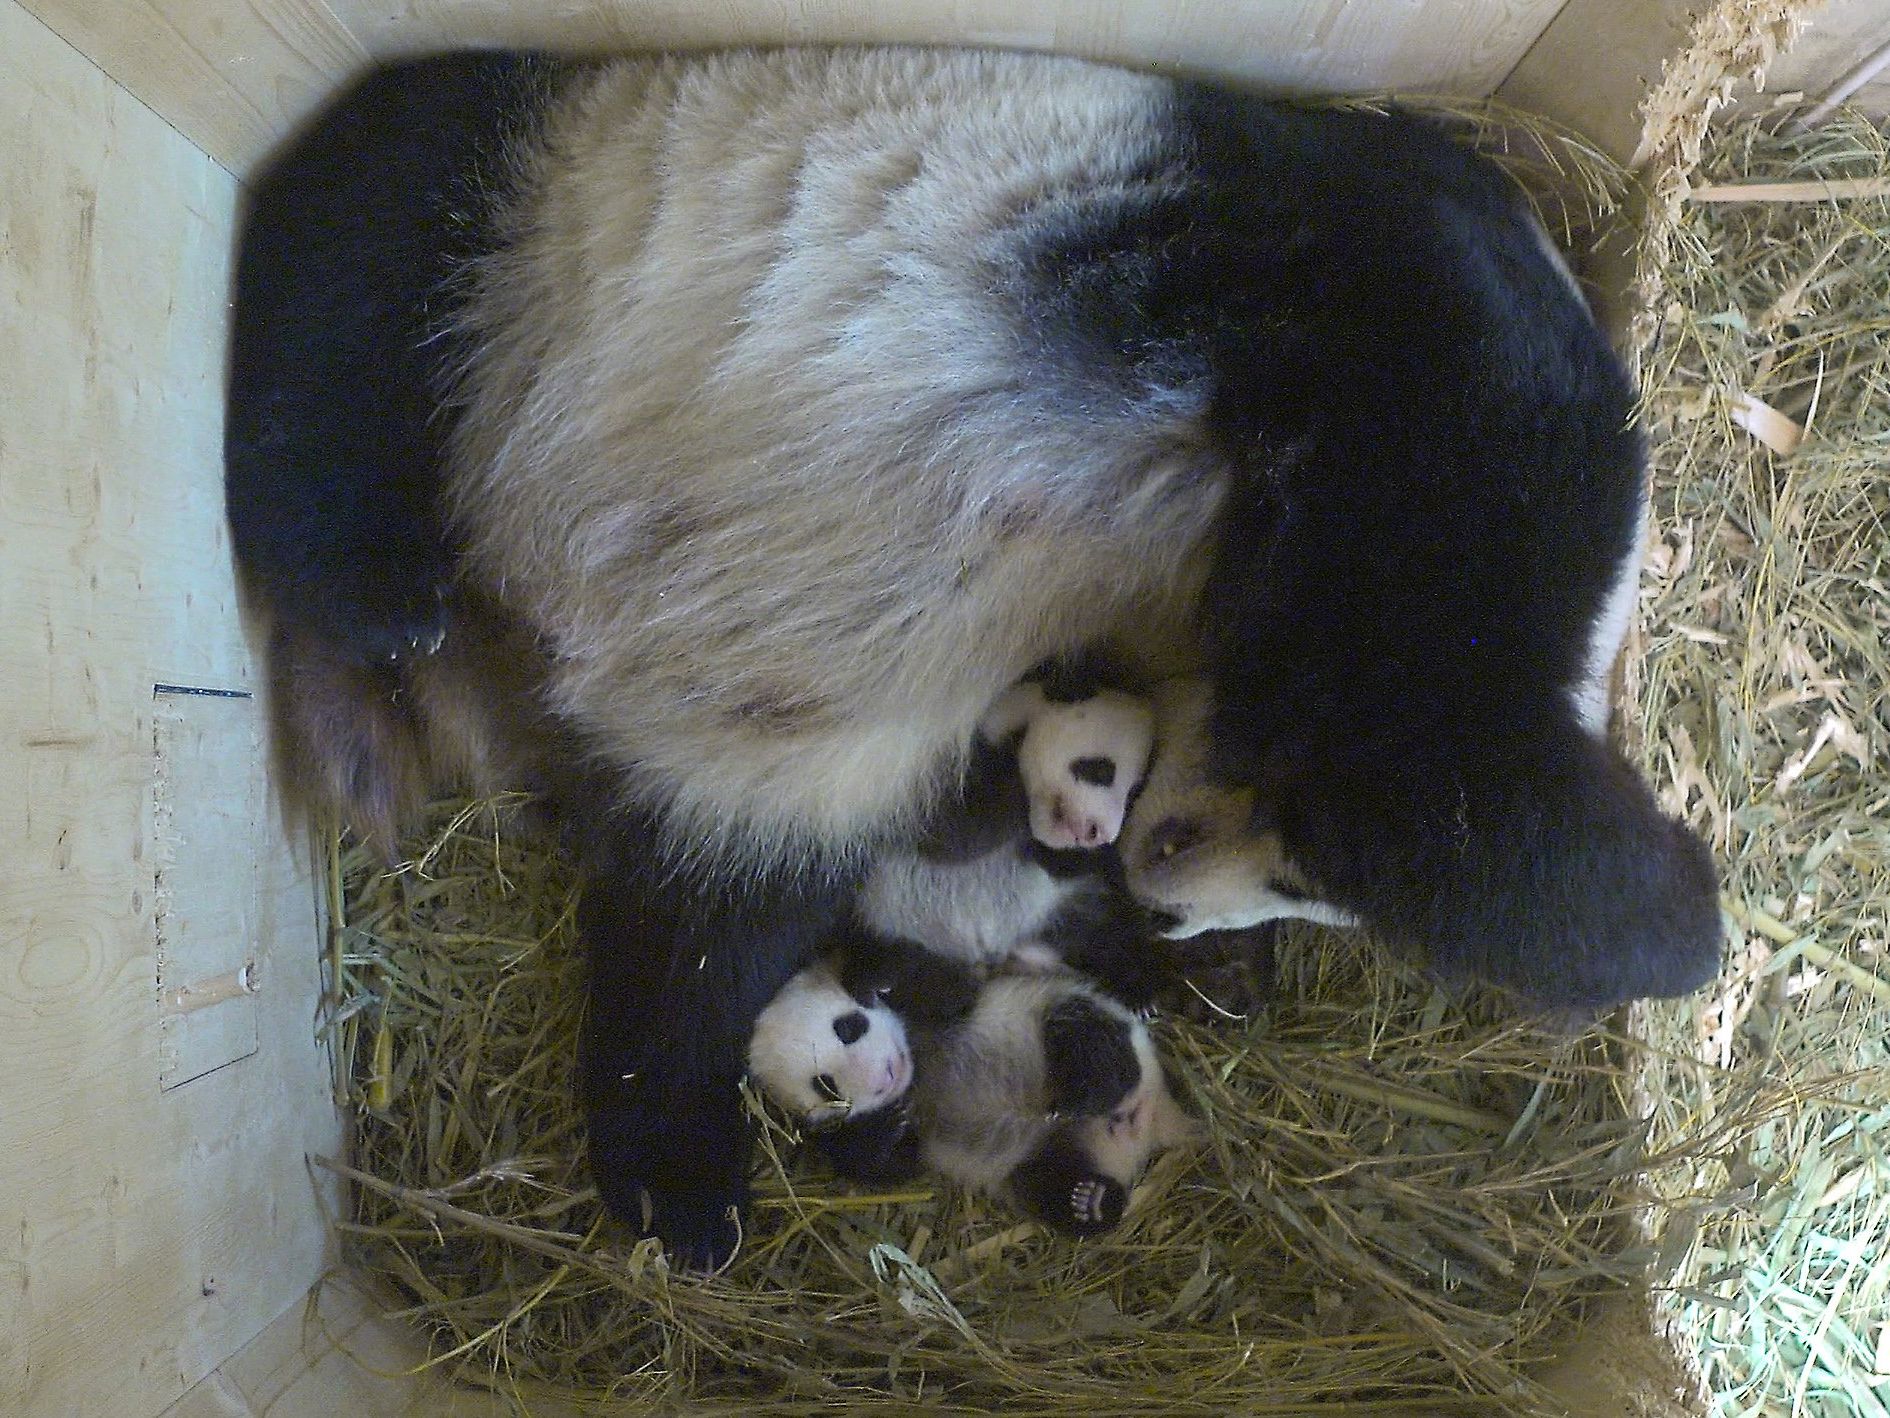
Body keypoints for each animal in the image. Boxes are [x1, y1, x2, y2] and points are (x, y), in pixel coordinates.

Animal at [224, 44, 1731, 1270]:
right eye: (1300, 872)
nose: (1165, 887)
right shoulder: (1418, 369)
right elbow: (1437, 744)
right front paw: (1663, 920)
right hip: (542, 194)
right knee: (360, 271)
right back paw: (379, 600)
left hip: (771, 711)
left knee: (705, 916)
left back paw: (673, 1166)